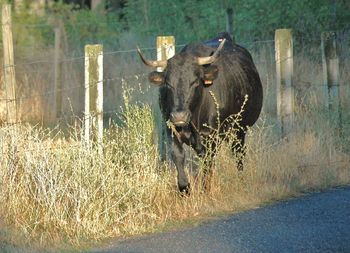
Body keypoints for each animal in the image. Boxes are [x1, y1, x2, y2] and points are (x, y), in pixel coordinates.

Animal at [137, 33, 262, 192]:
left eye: (195, 82)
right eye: (168, 83)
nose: (179, 116)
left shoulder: (211, 137)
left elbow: (207, 162)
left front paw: (205, 188)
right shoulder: (171, 129)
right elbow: (178, 155)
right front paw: (184, 187)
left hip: (239, 130)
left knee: (238, 153)